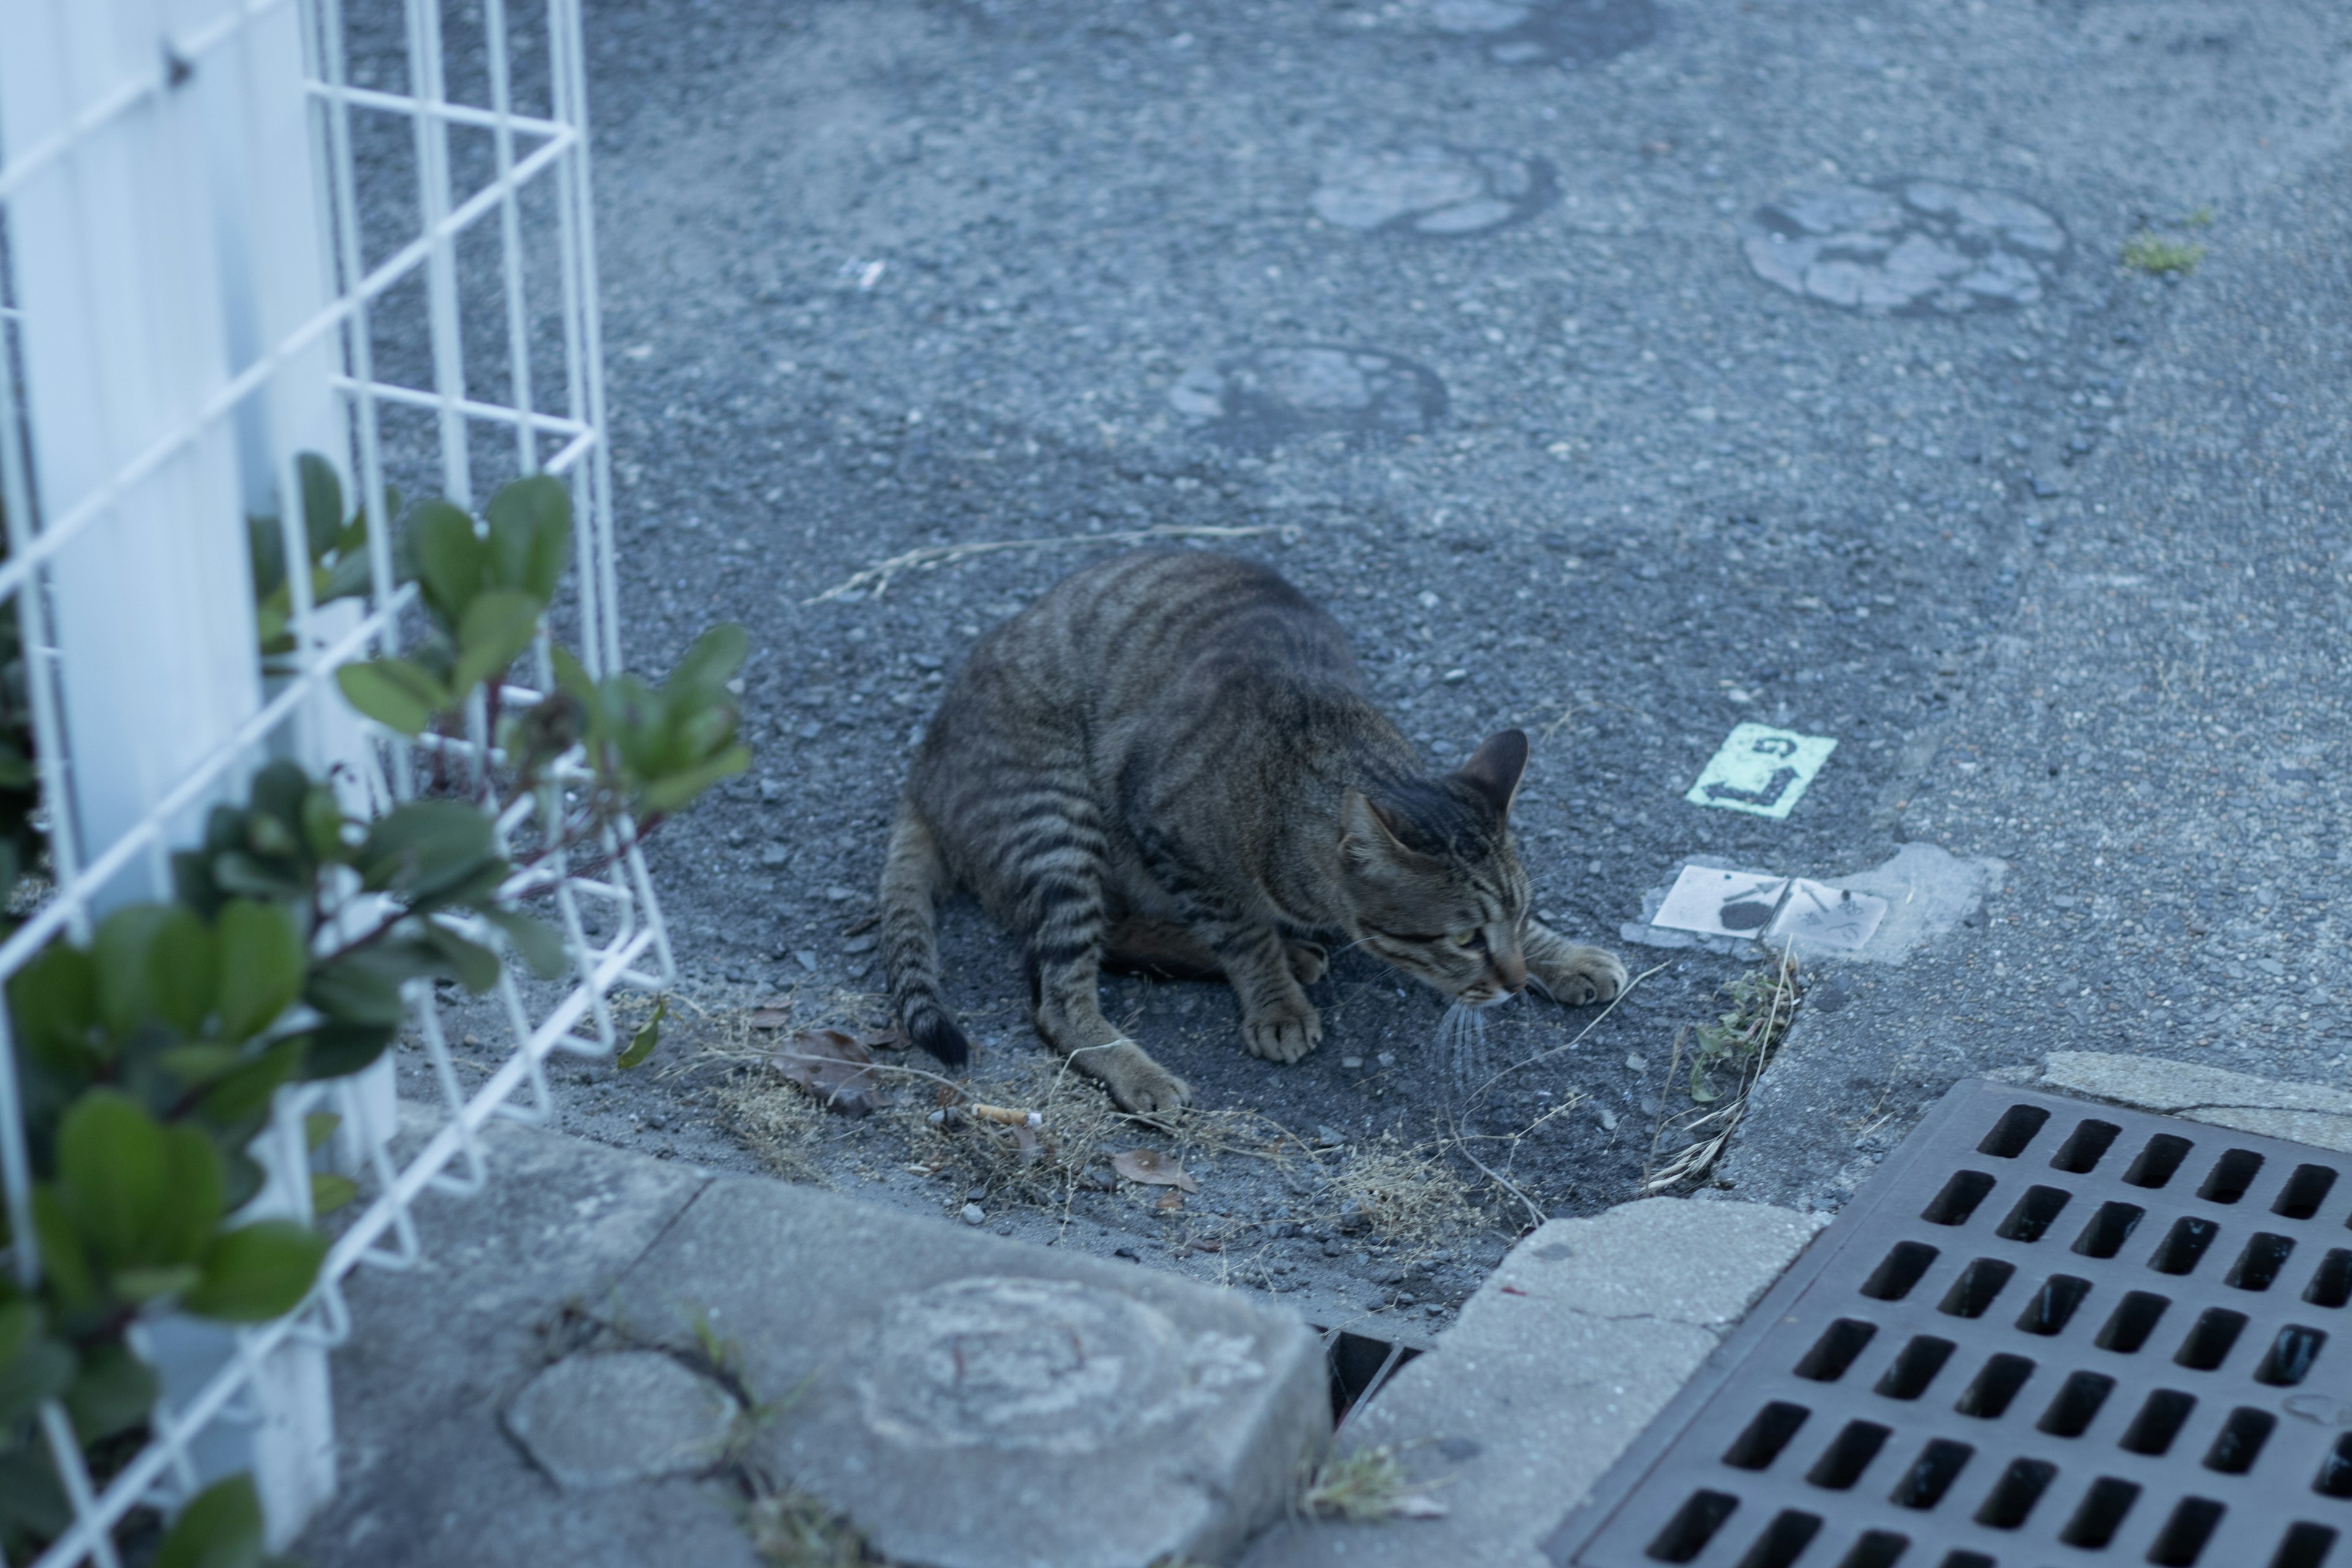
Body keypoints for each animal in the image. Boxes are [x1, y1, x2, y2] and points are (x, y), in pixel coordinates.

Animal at [875, 552, 1627, 1114]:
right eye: (1466, 940)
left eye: (1520, 916)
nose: (1515, 982)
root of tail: (923, 766)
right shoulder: (1167, 835)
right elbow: (1240, 932)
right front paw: (1275, 1000)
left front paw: (1563, 956)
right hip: (1058, 822)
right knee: (1060, 993)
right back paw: (1146, 1064)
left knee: (1116, 934)